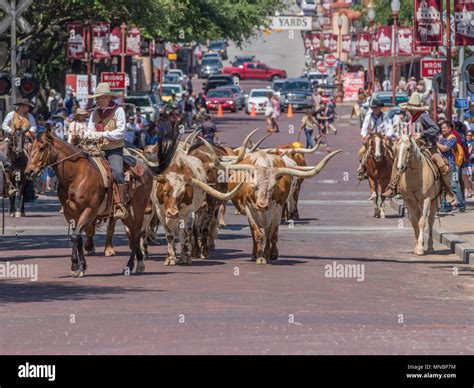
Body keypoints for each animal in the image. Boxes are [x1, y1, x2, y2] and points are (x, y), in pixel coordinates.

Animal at [26, 129, 181, 278]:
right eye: (29, 148)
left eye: (42, 148)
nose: (29, 172)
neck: (76, 176)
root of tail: (146, 166)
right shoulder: (70, 214)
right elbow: (78, 237)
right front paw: (82, 266)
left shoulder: (90, 210)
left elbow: (75, 236)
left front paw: (75, 267)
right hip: (125, 212)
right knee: (133, 232)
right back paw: (140, 263)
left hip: (139, 207)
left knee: (137, 233)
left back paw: (130, 265)